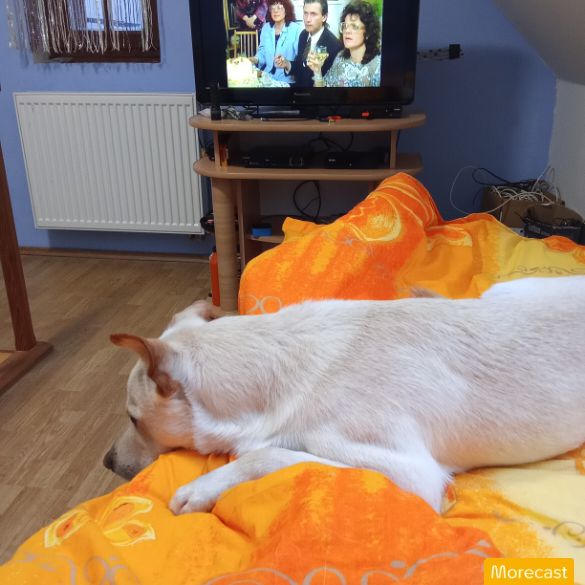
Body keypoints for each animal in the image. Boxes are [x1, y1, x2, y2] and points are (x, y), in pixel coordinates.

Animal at [104, 276, 585, 515]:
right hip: (500, 291)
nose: (106, 462)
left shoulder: (414, 476)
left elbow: (266, 455)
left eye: (132, 418)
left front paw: (202, 488)